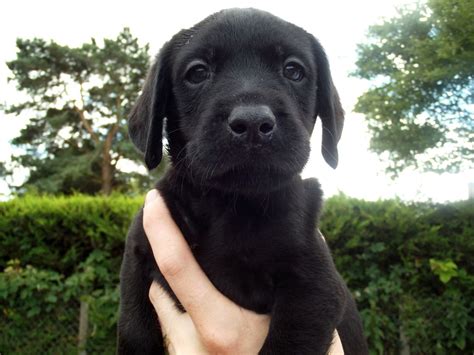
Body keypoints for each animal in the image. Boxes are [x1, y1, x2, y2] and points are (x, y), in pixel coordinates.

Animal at [117, 8, 366, 355]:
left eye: (293, 70)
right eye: (198, 72)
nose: (252, 122)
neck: (232, 205)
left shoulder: (314, 285)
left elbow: (287, 344)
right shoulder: (138, 253)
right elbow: (133, 328)